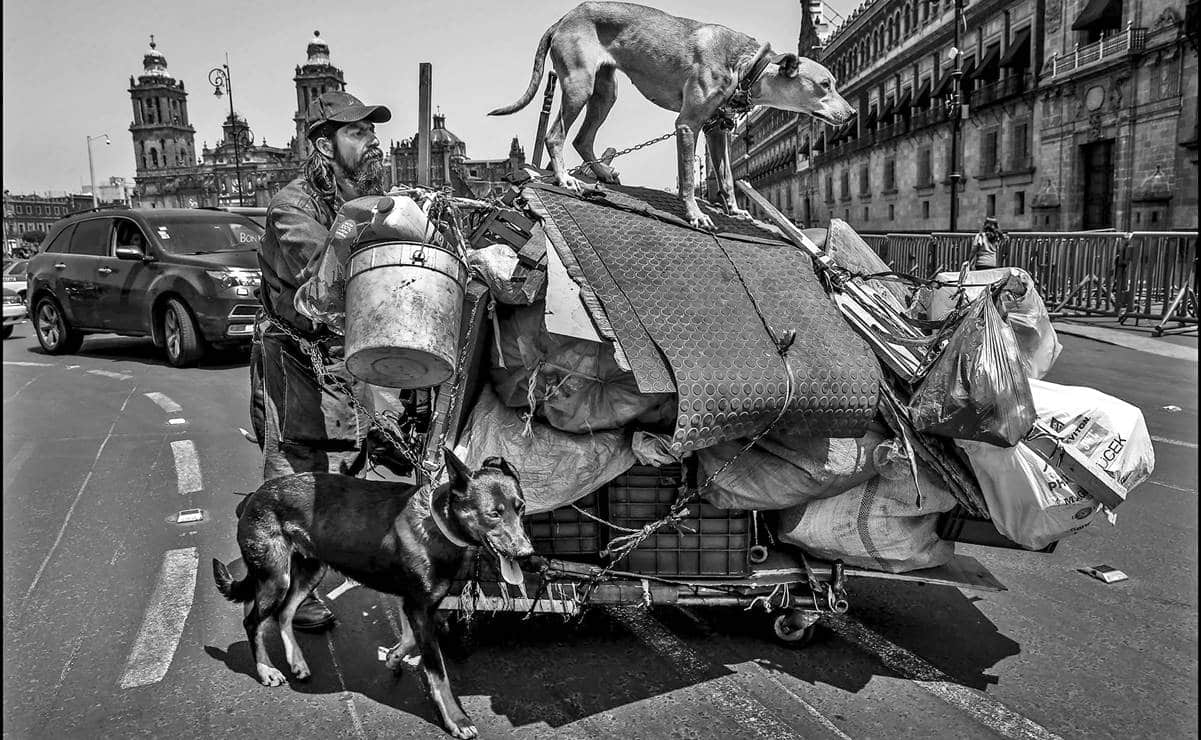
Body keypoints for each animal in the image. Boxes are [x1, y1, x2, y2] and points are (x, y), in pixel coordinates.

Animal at [214, 446, 535, 735]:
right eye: (494, 514)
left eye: (521, 509)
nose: (527, 554)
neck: (438, 524)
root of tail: (256, 495)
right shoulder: (418, 607)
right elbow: (438, 672)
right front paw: (456, 719)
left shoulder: (415, 604)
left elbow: (409, 639)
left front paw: (393, 657)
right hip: (277, 577)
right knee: (253, 620)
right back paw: (265, 669)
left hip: (309, 571)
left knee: (283, 612)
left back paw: (297, 661)